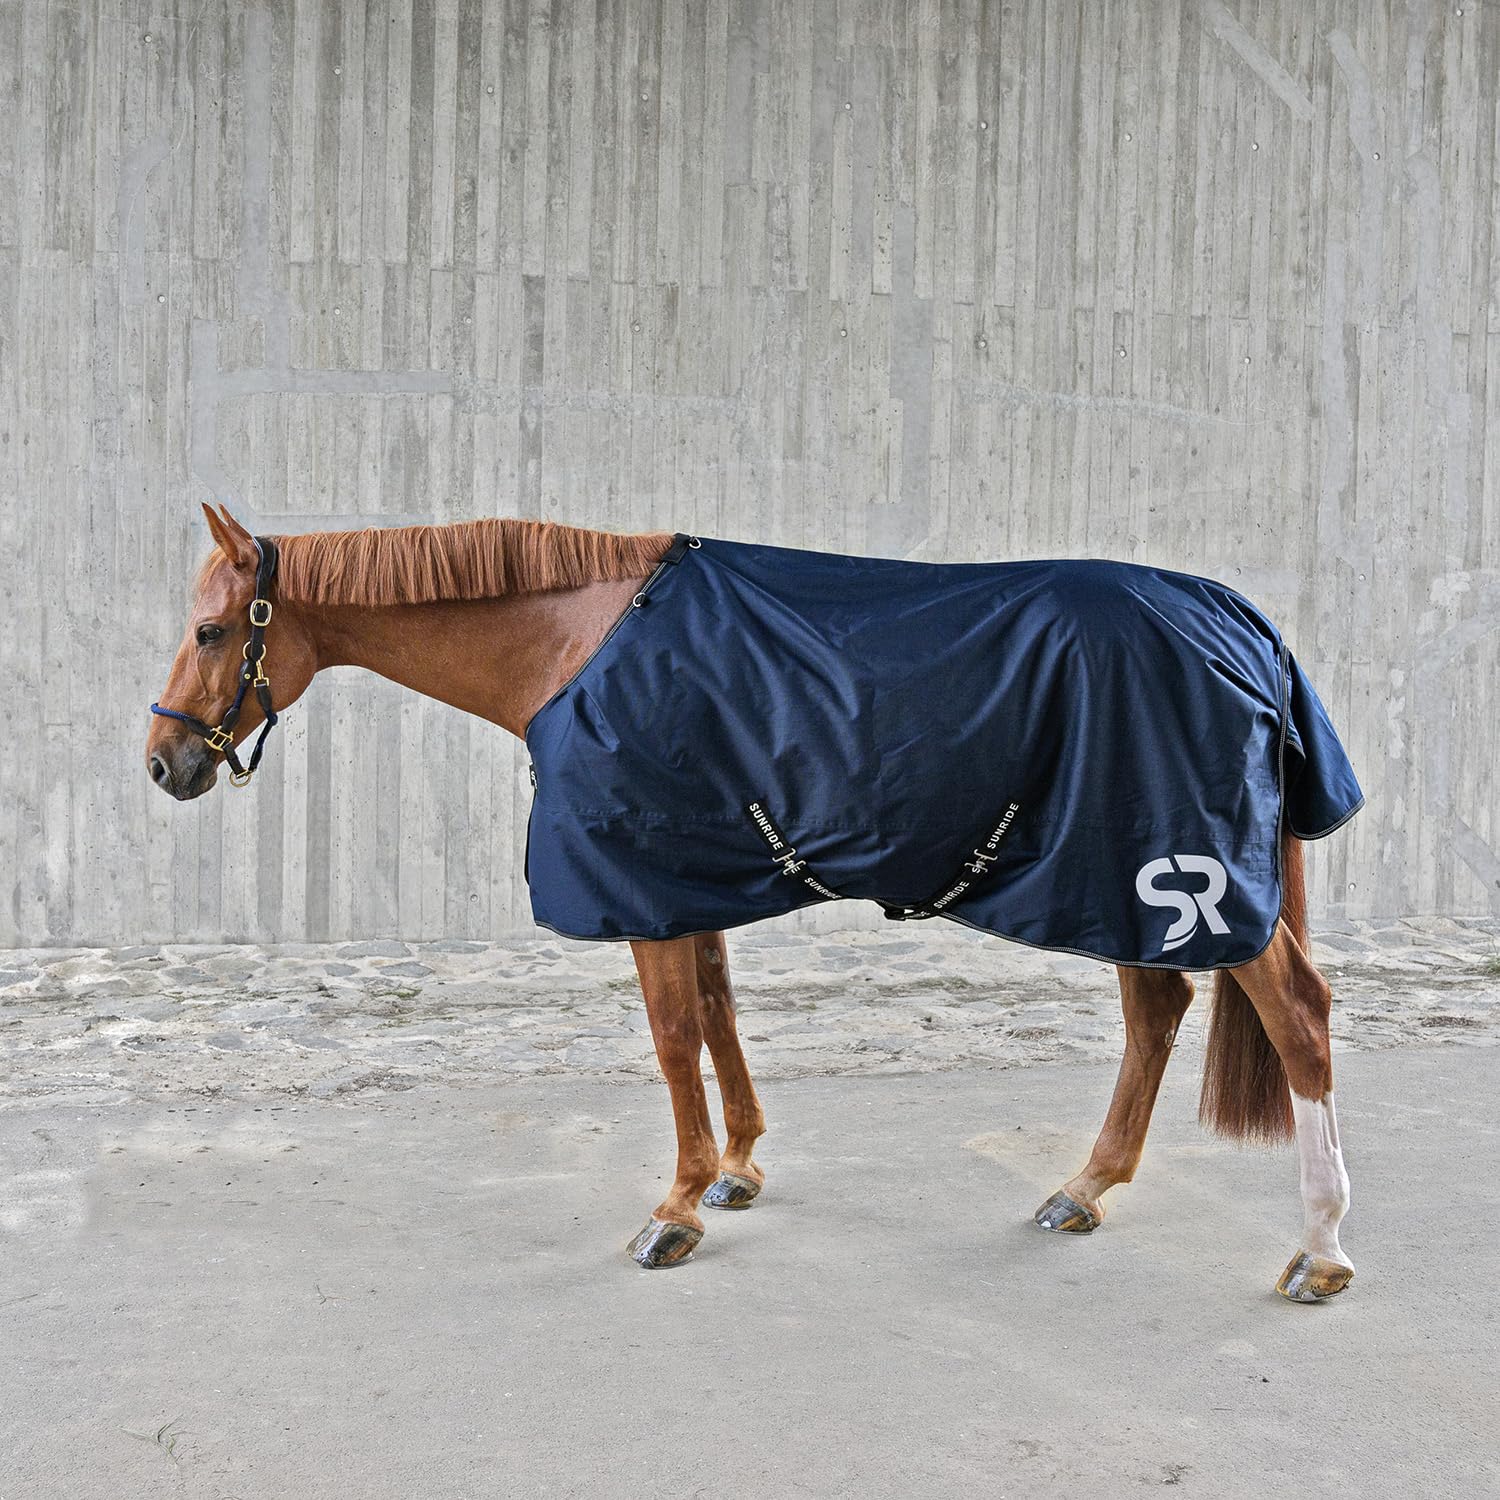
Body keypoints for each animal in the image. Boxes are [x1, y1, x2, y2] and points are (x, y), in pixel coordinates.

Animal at [146, 504, 1357, 1302]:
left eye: (211, 631)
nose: (165, 764)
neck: (581, 641)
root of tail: (1242, 623)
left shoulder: (644, 891)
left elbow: (675, 1037)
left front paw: (675, 1210)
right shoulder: (694, 880)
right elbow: (721, 1017)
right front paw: (735, 1171)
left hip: (1189, 883)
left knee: (1297, 1020)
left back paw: (1322, 1249)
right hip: (1117, 882)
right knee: (1155, 1015)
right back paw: (1085, 1189)